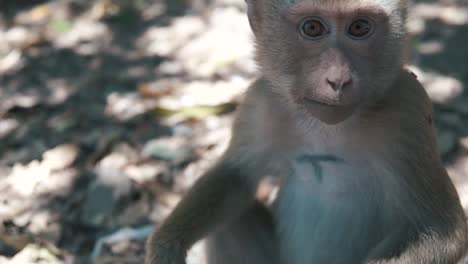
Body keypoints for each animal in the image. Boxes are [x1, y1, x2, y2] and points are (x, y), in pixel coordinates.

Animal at [144, 0, 466, 262]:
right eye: (312, 28)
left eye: (359, 27)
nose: (338, 80)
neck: (328, 128)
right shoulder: (261, 104)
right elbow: (236, 175)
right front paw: (167, 245)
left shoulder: (408, 112)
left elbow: (442, 229)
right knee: (231, 221)